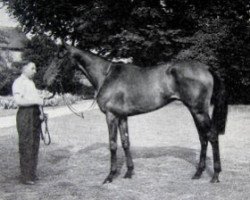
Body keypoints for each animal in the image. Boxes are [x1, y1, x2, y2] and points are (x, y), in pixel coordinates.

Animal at [44, 45, 228, 184]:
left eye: (60, 56)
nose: (46, 80)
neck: (106, 75)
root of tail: (205, 67)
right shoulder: (122, 117)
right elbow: (126, 142)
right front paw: (129, 172)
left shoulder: (111, 116)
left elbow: (113, 145)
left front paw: (110, 176)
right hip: (194, 111)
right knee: (203, 138)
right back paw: (198, 173)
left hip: (199, 111)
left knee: (212, 136)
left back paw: (215, 175)